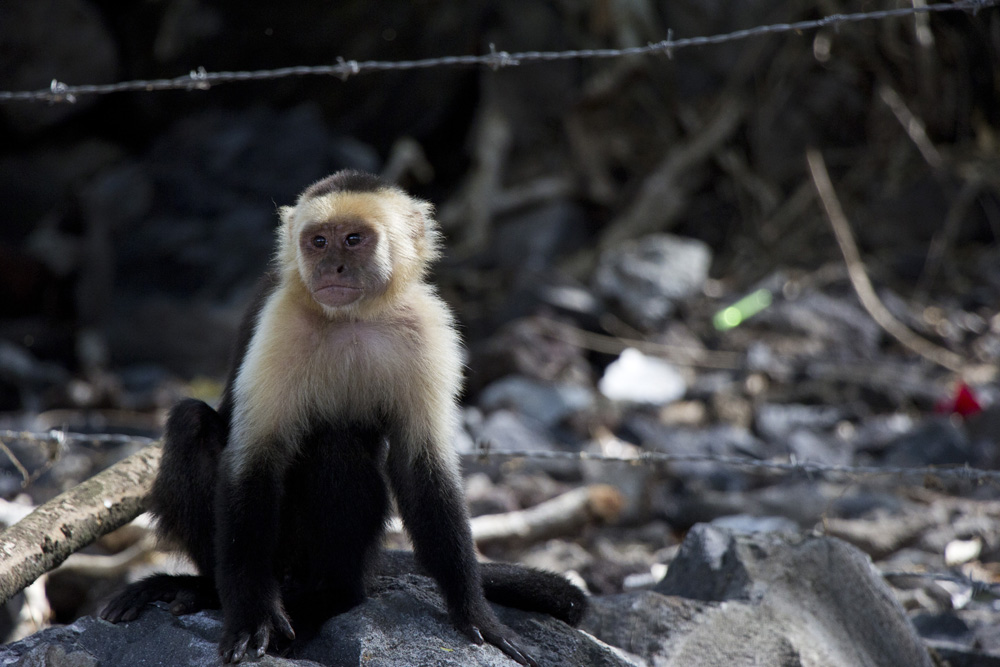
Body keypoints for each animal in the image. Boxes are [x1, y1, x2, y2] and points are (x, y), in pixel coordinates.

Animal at [101, 171, 584, 664]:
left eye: (353, 240)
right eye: (318, 242)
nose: (331, 267)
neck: (353, 317)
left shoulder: (429, 327)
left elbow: (420, 467)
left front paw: (475, 612)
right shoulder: (281, 320)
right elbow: (253, 463)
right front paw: (252, 615)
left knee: (338, 443)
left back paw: (330, 595)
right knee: (192, 423)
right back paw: (208, 591)